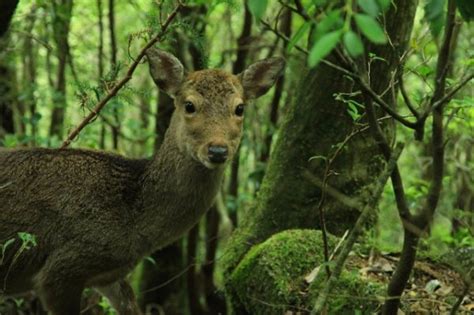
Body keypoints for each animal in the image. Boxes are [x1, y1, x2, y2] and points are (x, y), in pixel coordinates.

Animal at [0, 47, 286, 315]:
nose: (217, 150)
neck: (134, 220)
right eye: (189, 105)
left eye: (239, 108)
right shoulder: (61, 269)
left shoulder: (109, 277)